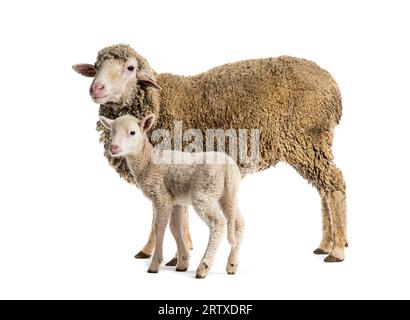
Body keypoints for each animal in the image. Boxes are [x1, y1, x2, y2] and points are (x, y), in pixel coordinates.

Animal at [99, 114, 243, 278]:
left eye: (132, 132)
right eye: (112, 132)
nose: (113, 148)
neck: (148, 162)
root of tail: (228, 168)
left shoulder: (161, 197)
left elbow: (159, 227)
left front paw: (155, 264)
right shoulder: (175, 200)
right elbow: (175, 228)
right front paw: (183, 262)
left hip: (204, 193)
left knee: (218, 224)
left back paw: (203, 267)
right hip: (227, 195)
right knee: (239, 223)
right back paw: (232, 264)